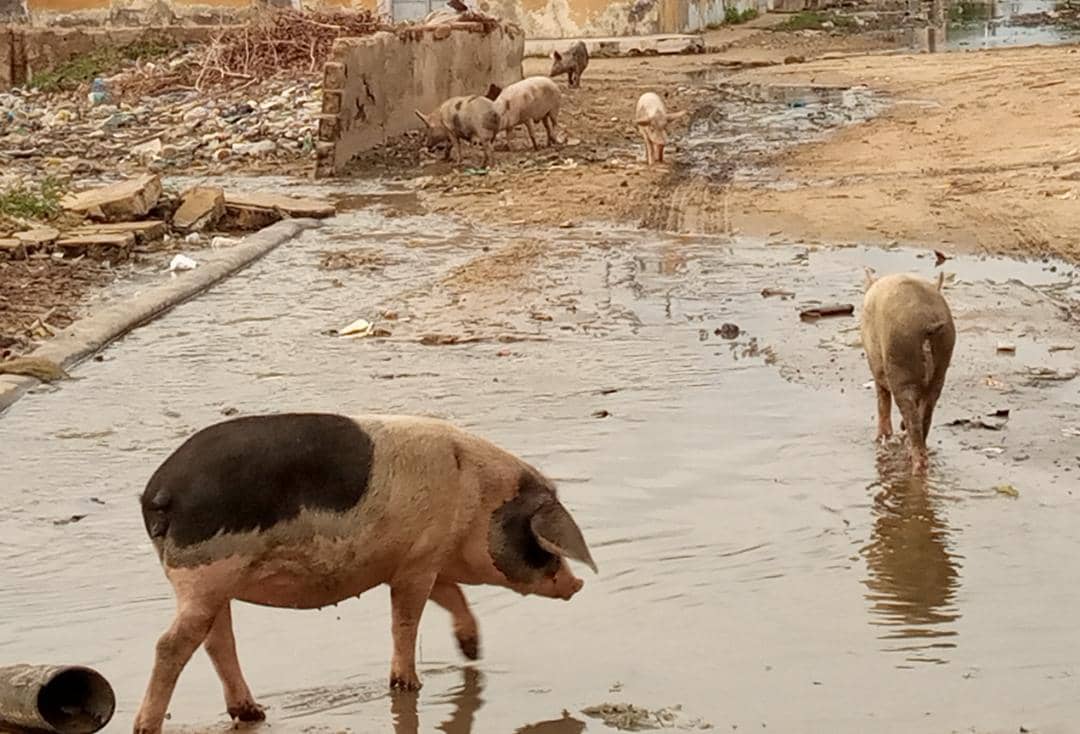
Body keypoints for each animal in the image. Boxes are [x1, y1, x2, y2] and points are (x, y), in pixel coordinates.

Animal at [132, 412, 600, 734]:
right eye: (540, 541)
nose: (577, 584)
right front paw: (409, 685)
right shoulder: (417, 564)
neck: (476, 501)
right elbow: (406, 620)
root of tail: (160, 492)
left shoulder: (422, 558)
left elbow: (451, 596)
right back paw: (147, 727)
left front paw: (472, 651)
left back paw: (252, 713)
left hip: (212, 586)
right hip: (206, 574)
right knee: (171, 645)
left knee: (217, 641)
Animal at [855, 272, 959, 472]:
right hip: (942, 361)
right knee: (926, 412)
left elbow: (882, 400)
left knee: (910, 415)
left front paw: (880, 438)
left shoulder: (877, 367)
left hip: (900, 360)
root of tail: (928, 324)